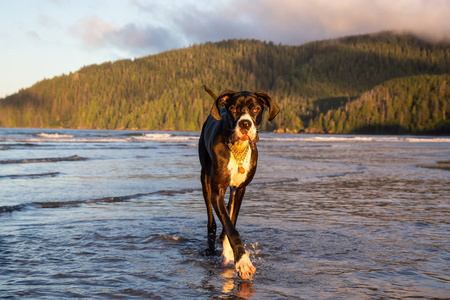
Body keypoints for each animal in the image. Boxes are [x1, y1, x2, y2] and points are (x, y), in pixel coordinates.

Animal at [199, 85, 280, 280]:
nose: (245, 124)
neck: (237, 148)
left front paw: (230, 255)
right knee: (212, 221)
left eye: (256, 109)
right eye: (234, 109)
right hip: (205, 178)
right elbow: (231, 228)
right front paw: (243, 262)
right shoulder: (216, 191)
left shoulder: (240, 190)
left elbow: (231, 220)